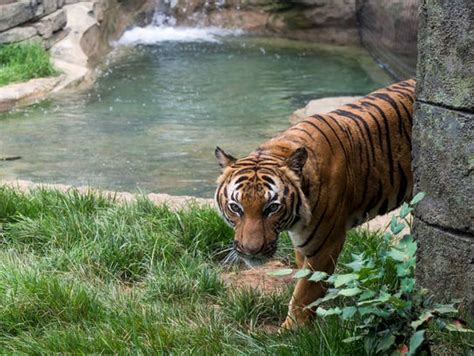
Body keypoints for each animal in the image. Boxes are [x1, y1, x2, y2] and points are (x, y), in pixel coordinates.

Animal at [214, 79, 414, 330]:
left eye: (272, 207)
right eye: (236, 207)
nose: (252, 251)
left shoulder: (326, 245)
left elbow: (304, 293)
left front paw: (290, 332)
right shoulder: (303, 244)